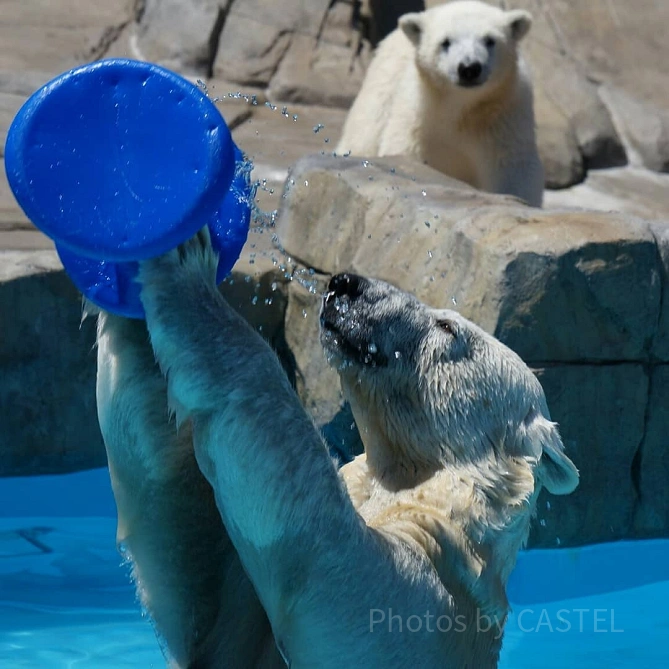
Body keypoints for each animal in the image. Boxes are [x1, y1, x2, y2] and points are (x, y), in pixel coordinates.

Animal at [95, 230, 578, 668]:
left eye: (447, 327)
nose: (346, 283)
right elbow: (187, 563)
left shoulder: (427, 603)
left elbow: (317, 556)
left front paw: (185, 267)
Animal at [336, 1, 544, 207]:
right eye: (446, 42)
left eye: (489, 40)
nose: (469, 68)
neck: (458, 105)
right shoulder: (417, 115)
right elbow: (405, 152)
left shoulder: (504, 115)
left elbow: (513, 167)